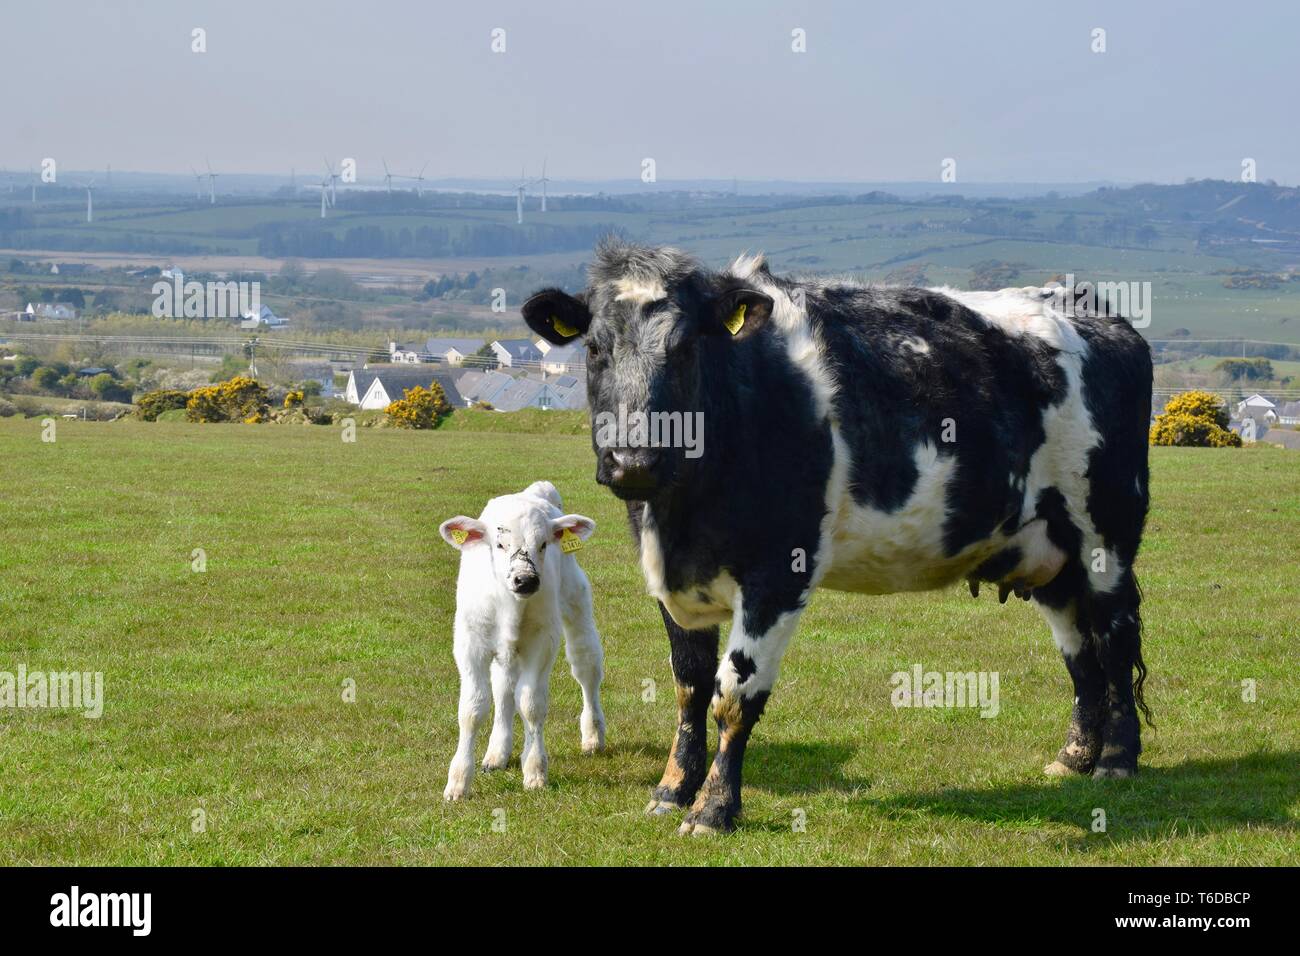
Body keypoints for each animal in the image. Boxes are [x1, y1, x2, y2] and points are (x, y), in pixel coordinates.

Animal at [439, 481, 606, 801]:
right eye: (499, 544)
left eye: (543, 544)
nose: (526, 580)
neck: (509, 605)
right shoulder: (469, 644)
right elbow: (472, 708)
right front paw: (458, 781)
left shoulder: (542, 642)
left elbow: (531, 704)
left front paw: (535, 770)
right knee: (503, 688)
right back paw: (496, 753)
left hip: (577, 603)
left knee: (586, 665)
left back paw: (593, 736)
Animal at [522, 239, 1153, 834]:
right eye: (595, 348)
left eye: (684, 348)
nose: (634, 462)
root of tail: (1088, 307)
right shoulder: (673, 580)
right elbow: (691, 687)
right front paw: (673, 789)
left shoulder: (779, 572)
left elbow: (735, 696)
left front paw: (714, 808)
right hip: (1046, 554)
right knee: (1079, 651)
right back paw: (1074, 757)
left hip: (1106, 534)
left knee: (1116, 637)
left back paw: (1116, 759)